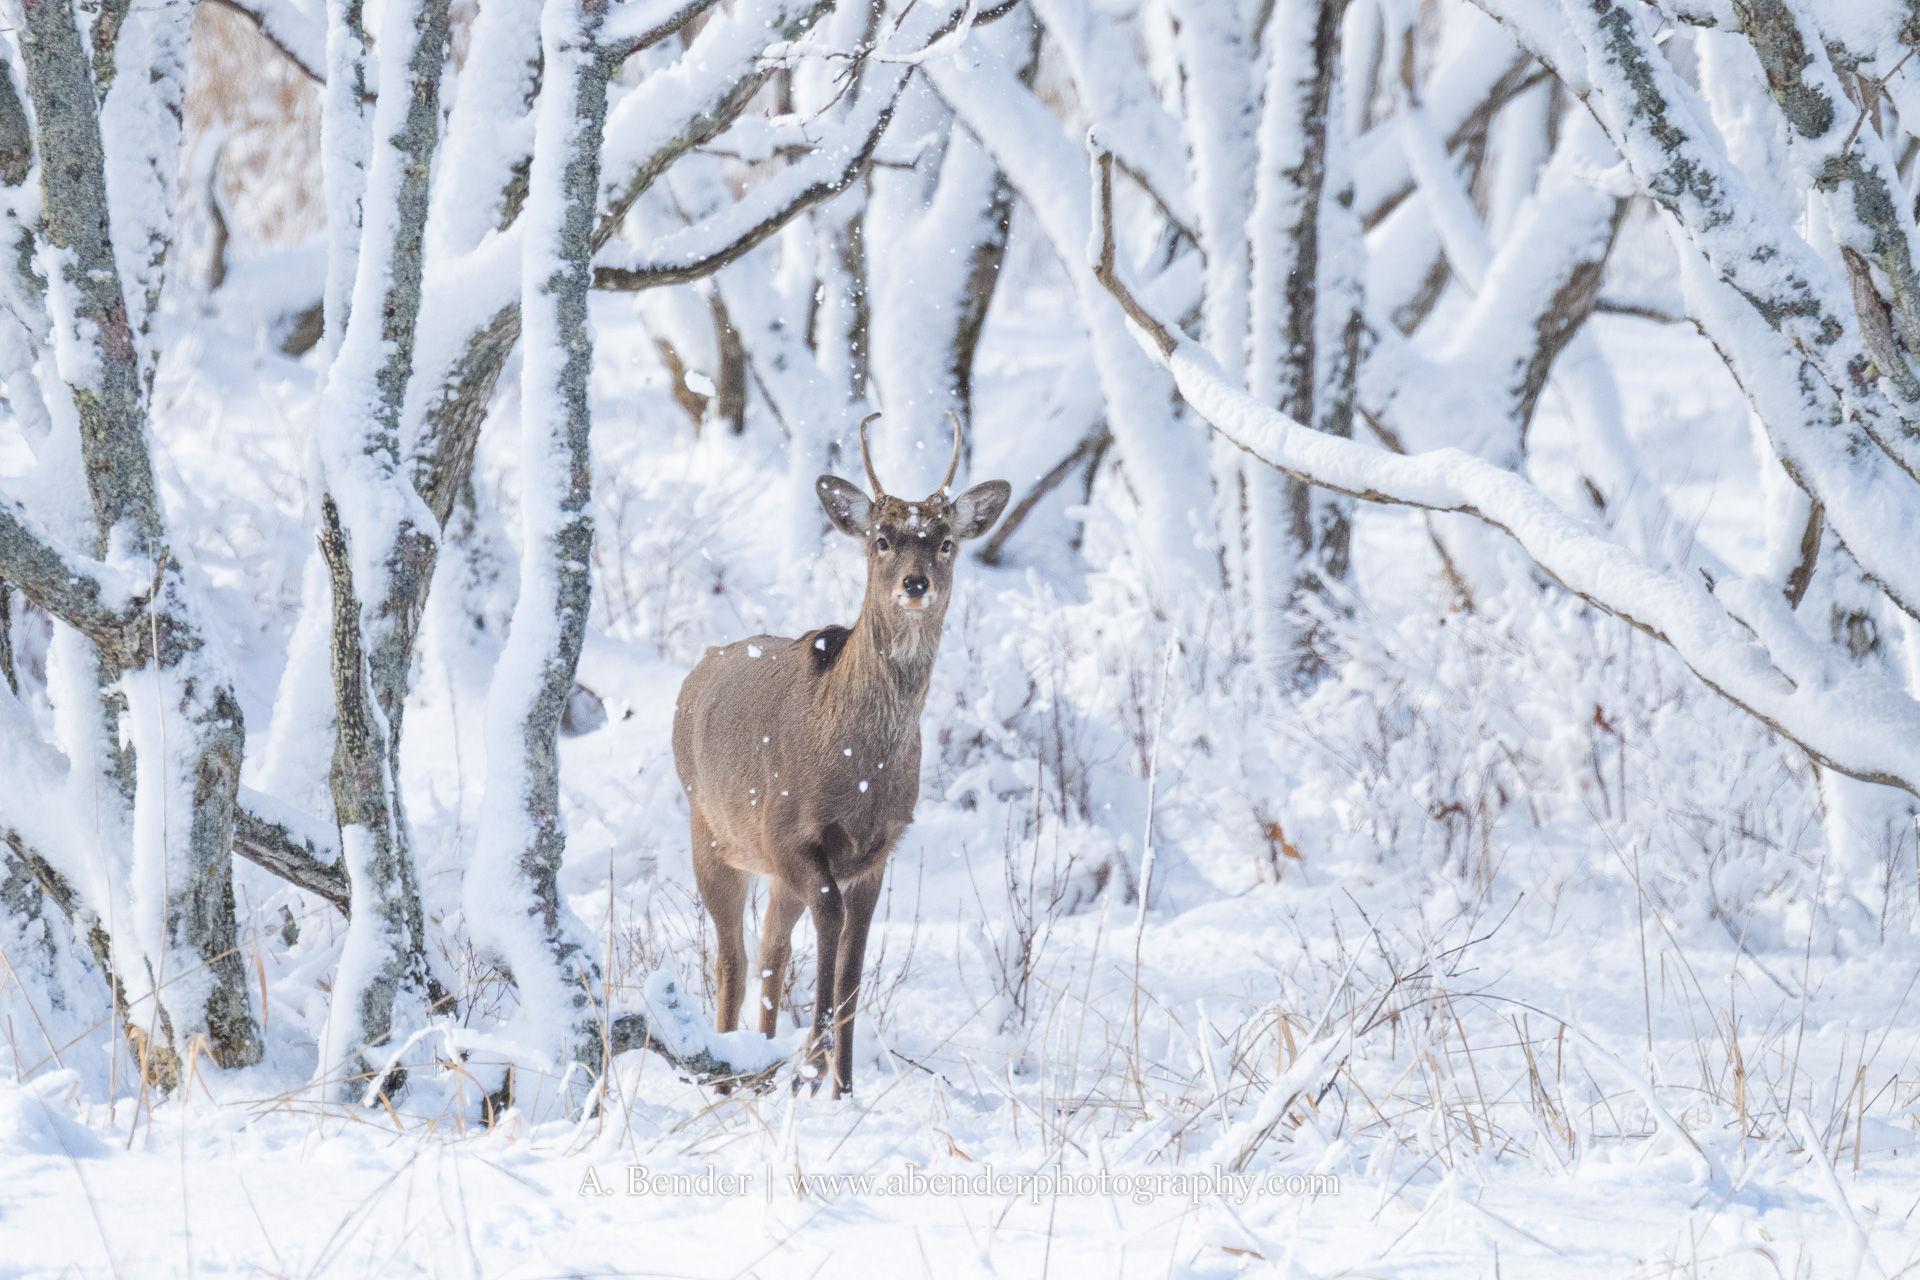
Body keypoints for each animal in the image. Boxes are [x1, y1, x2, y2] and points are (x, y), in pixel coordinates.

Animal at [671, 412, 1009, 1097]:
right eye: (882, 538)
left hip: (767, 867)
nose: (915, 583)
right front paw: (813, 1064)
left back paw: (761, 1062)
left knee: (771, 949)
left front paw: (842, 1087)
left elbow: (853, 966)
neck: (859, 771)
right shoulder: (790, 835)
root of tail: (698, 671)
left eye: (944, 542)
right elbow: (829, 933)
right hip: (712, 832)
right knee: (733, 955)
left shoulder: (878, 850)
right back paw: (729, 1075)